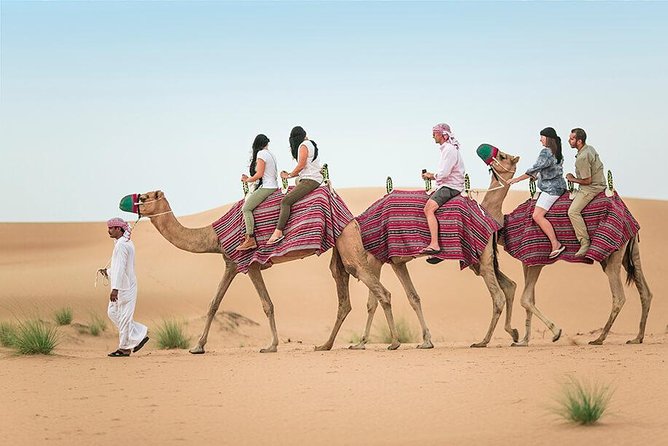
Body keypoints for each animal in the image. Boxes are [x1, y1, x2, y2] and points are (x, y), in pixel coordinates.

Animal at [135, 190, 402, 353]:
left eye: (145, 197)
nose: (131, 201)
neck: (214, 236)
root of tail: (351, 217)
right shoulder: (232, 264)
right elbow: (214, 303)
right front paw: (198, 347)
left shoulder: (247, 263)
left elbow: (265, 304)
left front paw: (271, 345)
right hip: (340, 246)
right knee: (344, 296)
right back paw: (325, 345)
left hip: (347, 242)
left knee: (381, 291)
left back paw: (394, 343)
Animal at [351, 150, 522, 349]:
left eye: (502, 157)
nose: (490, 157)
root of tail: (490, 221)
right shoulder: (397, 261)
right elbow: (413, 297)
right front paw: (426, 340)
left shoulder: (375, 258)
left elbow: (373, 301)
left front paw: (363, 343)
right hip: (482, 261)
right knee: (509, 286)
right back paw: (513, 333)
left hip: (482, 258)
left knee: (498, 296)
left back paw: (483, 341)